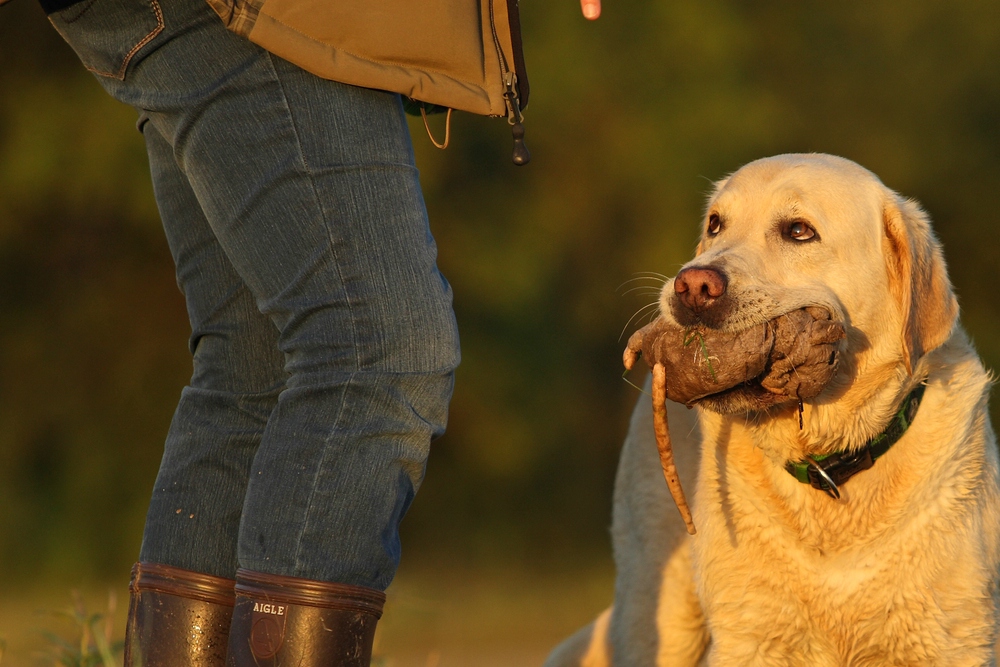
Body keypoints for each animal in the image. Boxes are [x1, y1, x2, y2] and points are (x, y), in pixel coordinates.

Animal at [548, 155, 1000, 667]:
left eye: (799, 231)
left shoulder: (952, 638)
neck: (828, 469)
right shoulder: (750, 637)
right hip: (660, 607)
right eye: (715, 225)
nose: (692, 284)